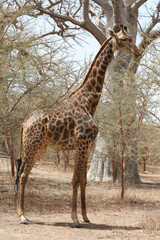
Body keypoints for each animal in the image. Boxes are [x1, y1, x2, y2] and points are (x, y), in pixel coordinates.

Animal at [16, 24, 141, 227]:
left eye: (130, 38)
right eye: (123, 39)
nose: (137, 51)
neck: (88, 102)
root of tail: (24, 122)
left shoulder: (88, 146)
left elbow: (83, 181)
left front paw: (85, 216)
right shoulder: (81, 144)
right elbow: (74, 180)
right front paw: (75, 219)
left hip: (39, 147)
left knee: (22, 174)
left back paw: (21, 213)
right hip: (32, 146)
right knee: (22, 175)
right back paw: (22, 216)